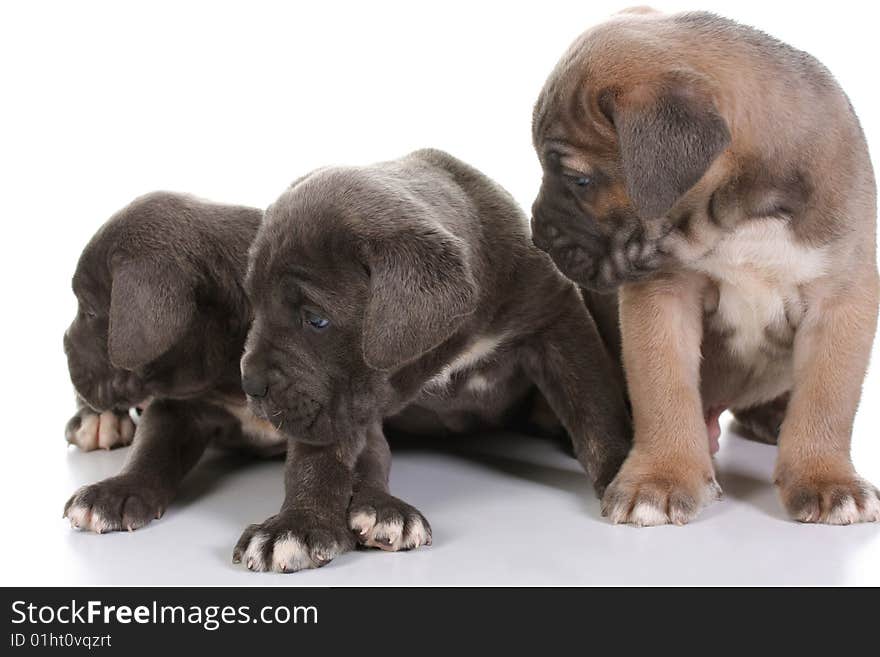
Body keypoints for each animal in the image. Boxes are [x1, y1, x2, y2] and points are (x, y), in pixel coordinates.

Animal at [237, 151, 628, 572]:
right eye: (254, 304)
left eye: (316, 319)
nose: (250, 384)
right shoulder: (337, 402)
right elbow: (320, 455)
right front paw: (297, 524)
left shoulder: (556, 318)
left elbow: (594, 407)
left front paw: (626, 472)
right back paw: (382, 510)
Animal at [528, 7, 880, 524]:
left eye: (580, 180)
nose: (538, 235)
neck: (741, 211)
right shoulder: (662, 295)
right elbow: (663, 390)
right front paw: (660, 477)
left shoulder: (838, 299)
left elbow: (826, 398)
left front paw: (825, 478)